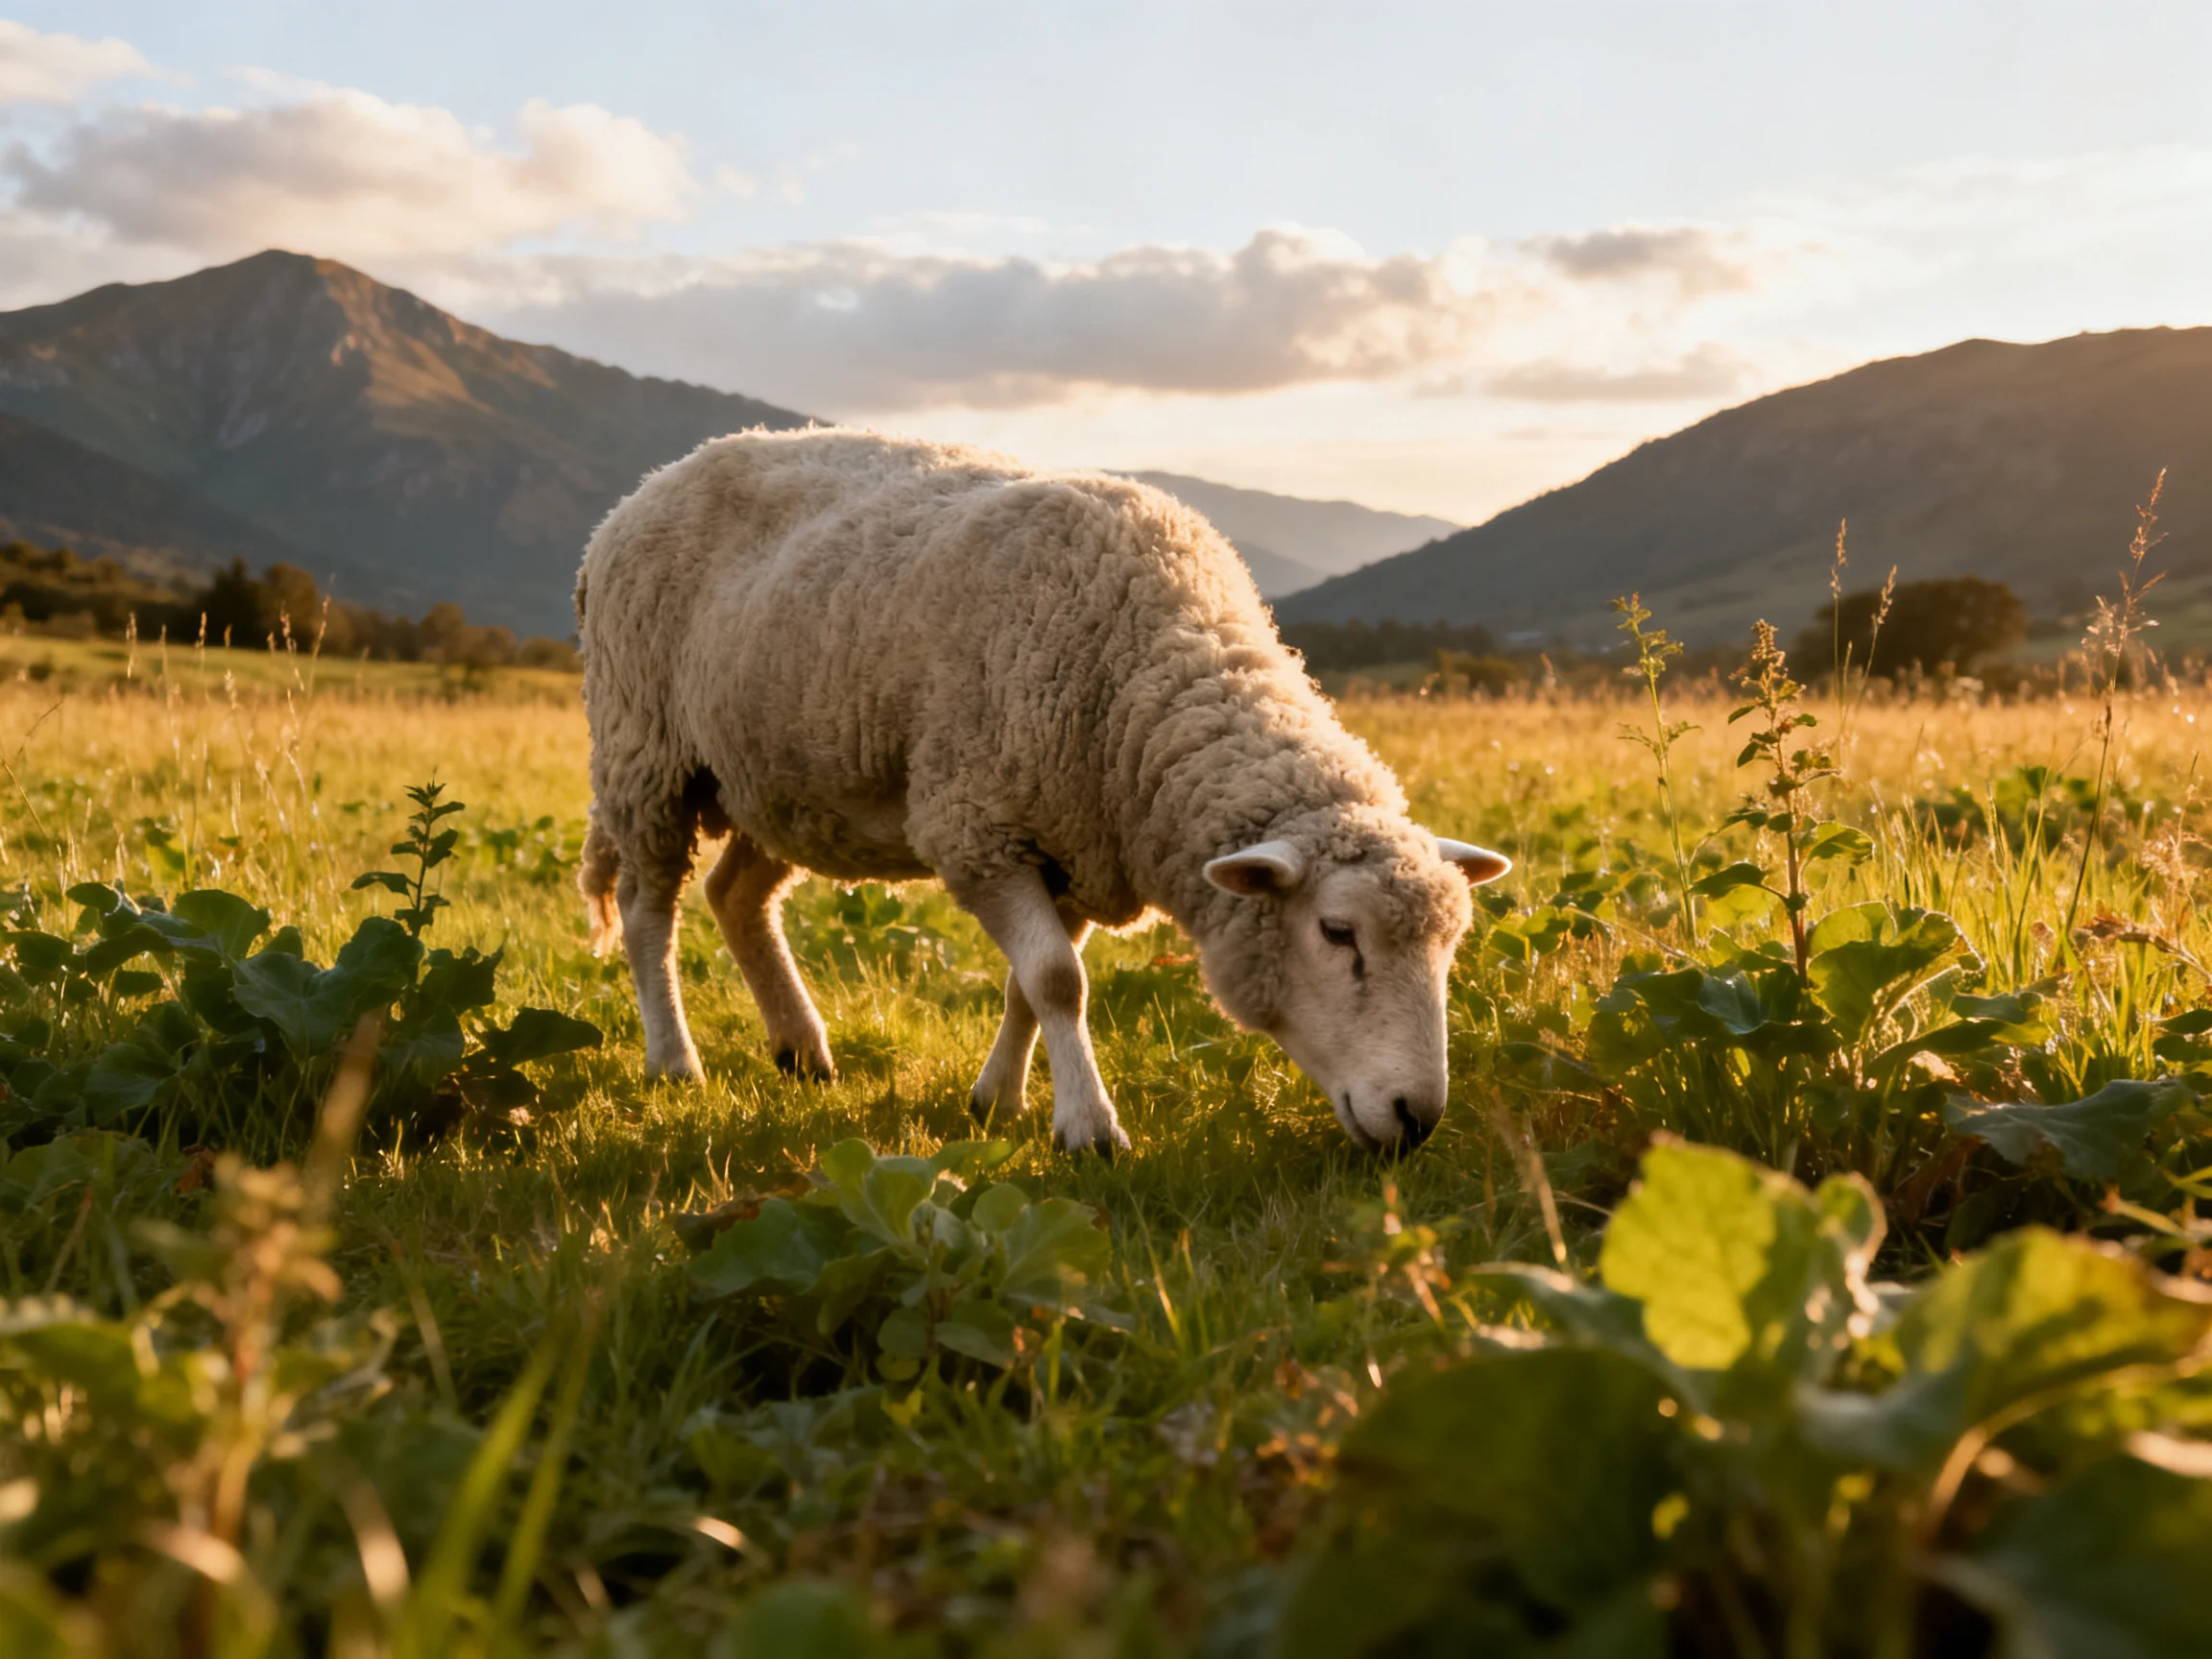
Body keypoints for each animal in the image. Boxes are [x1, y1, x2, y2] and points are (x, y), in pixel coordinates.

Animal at [574, 428, 1510, 1154]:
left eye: (1452, 945)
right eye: (1336, 932)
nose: (1417, 1118)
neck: (1145, 682)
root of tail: (637, 495)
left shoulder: (1077, 844)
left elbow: (1029, 982)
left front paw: (998, 1100)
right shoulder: (976, 828)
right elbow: (1060, 980)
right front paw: (1089, 1129)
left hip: (779, 783)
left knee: (737, 895)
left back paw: (801, 1050)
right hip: (645, 749)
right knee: (650, 909)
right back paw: (675, 1062)